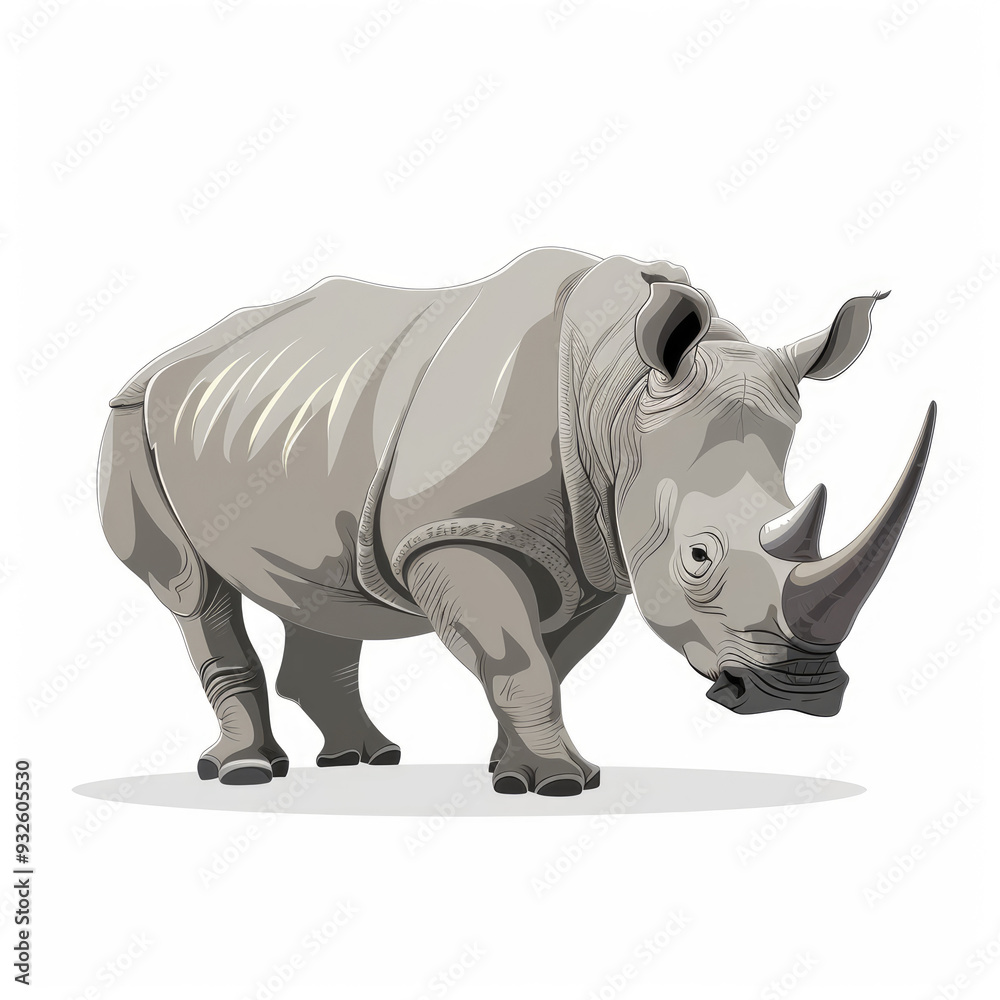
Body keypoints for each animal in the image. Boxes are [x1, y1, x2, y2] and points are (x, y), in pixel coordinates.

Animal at [98, 247, 935, 795]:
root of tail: (175, 353)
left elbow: (546, 660)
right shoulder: (455, 532)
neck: (617, 397)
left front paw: (516, 771)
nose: (801, 691)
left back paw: (366, 760)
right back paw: (245, 773)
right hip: (132, 415)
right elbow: (514, 656)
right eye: (698, 557)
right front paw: (560, 784)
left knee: (322, 588)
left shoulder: (597, 557)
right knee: (191, 591)